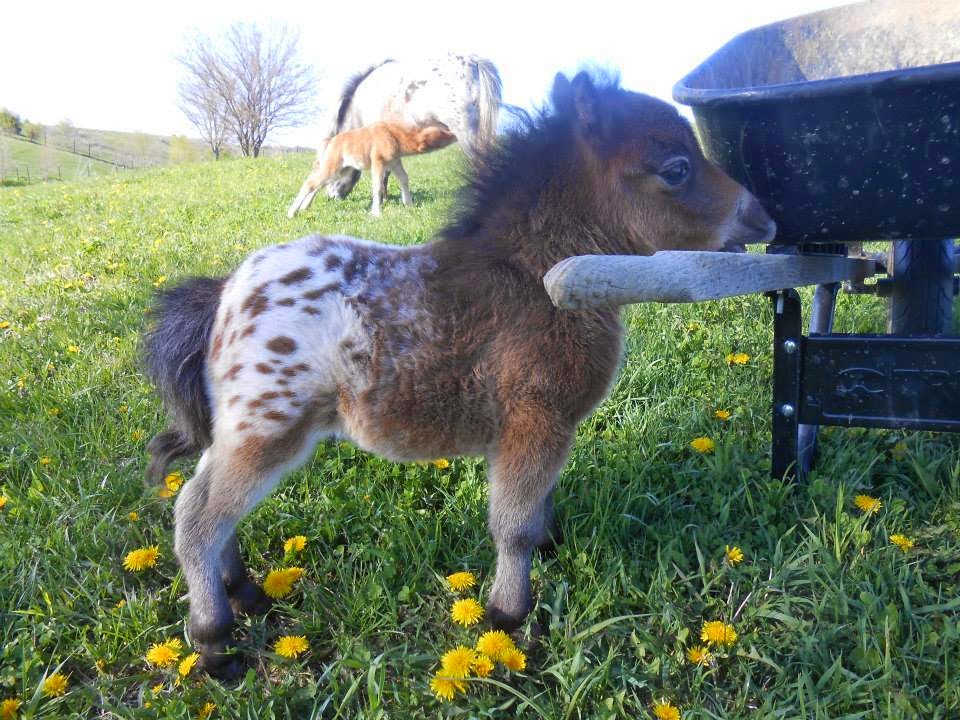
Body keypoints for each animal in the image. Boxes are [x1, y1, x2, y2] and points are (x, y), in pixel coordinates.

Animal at [286, 122, 456, 218]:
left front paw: (409, 205)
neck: (394, 135)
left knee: (318, 185)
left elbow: (404, 179)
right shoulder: (378, 163)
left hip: (341, 171)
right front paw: (376, 213)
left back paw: (304, 208)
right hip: (332, 168)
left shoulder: (395, 163)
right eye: (441, 133)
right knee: (310, 183)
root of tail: (331, 141)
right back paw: (291, 213)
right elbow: (378, 187)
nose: (454, 134)